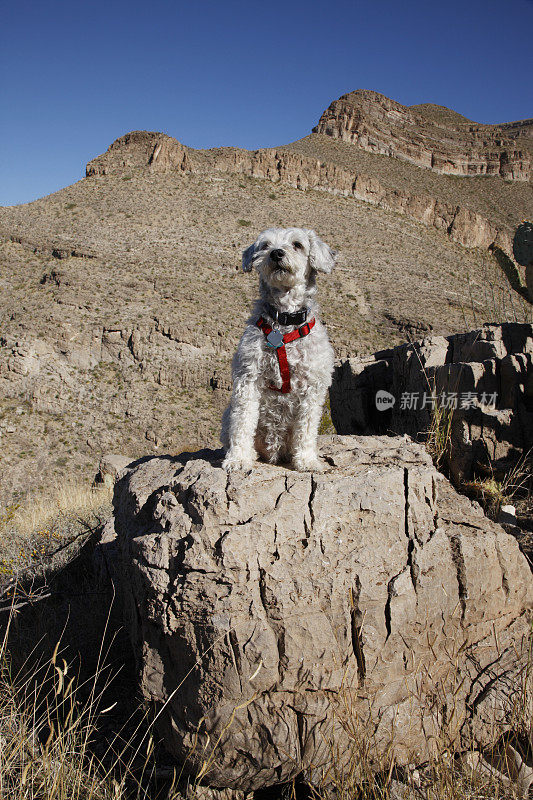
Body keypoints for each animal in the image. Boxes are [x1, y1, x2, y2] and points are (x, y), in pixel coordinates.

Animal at [221, 228, 336, 472]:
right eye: (265, 245)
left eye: (297, 244)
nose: (276, 253)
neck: (284, 321)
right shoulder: (248, 377)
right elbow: (243, 421)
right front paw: (238, 458)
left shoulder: (313, 386)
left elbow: (307, 428)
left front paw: (307, 460)